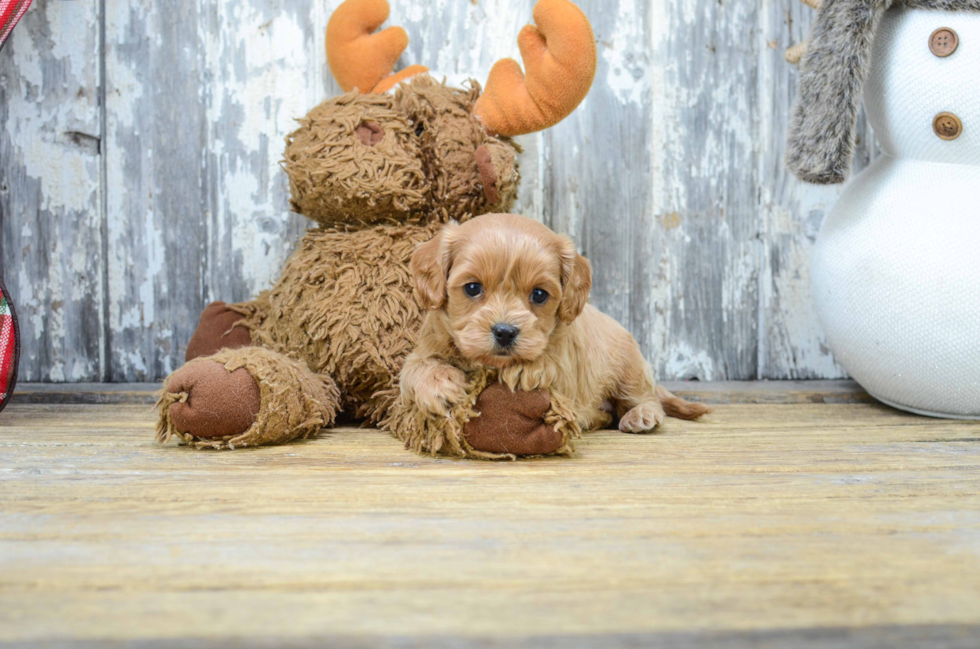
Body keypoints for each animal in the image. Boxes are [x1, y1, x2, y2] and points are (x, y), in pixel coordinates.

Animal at [398, 211, 712, 440]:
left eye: (539, 294)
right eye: (472, 288)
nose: (505, 332)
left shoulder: (567, 370)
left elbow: (549, 368)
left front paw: (526, 369)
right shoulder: (423, 349)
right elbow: (416, 368)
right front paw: (440, 386)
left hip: (629, 369)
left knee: (646, 399)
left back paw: (641, 415)